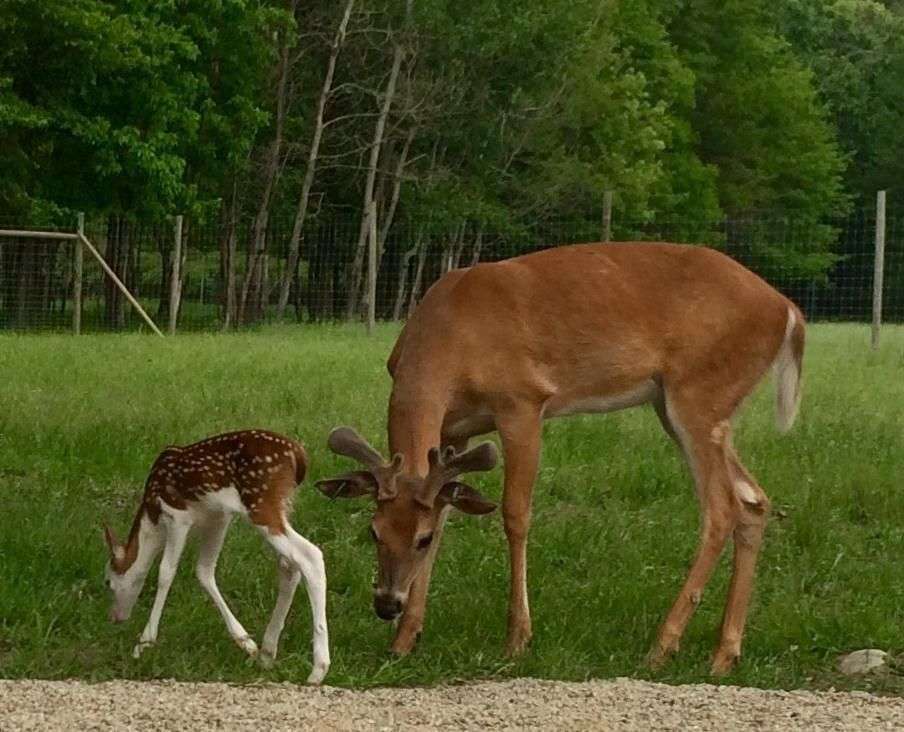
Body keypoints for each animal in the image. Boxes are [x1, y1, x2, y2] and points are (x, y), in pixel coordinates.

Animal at [103, 428, 328, 688]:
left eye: (108, 581)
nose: (114, 617)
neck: (152, 518)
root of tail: (299, 456)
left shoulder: (177, 514)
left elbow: (165, 573)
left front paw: (144, 643)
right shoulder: (219, 517)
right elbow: (204, 570)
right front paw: (246, 642)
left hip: (261, 502)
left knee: (310, 555)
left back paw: (318, 669)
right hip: (282, 505)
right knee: (288, 565)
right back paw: (267, 653)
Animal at [316, 242, 804, 676]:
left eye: (420, 538)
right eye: (373, 531)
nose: (385, 604)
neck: (450, 337)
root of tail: (787, 309)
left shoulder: (522, 402)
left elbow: (515, 515)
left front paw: (517, 639)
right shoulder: (455, 428)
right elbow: (448, 506)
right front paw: (405, 640)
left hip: (699, 392)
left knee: (722, 508)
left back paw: (662, 647)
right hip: (682, 404)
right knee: (754, 500)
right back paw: (724, 654)